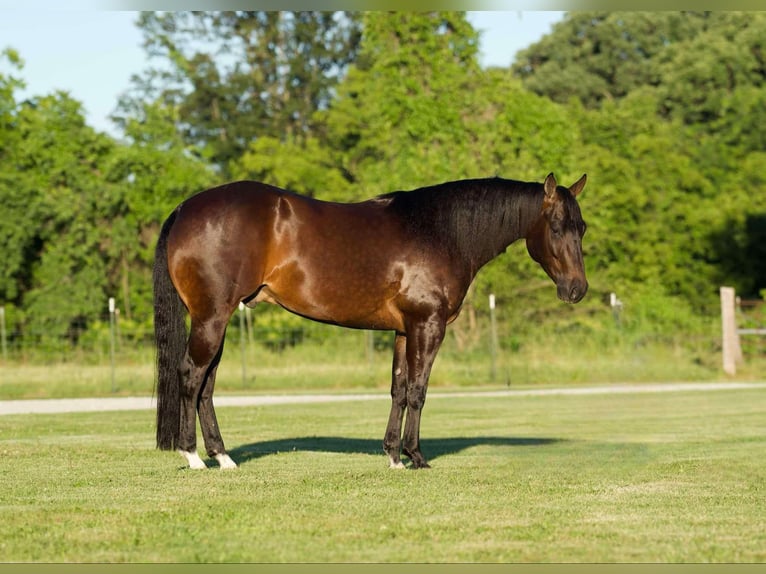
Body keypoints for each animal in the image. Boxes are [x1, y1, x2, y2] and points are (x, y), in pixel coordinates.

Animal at [153, 172, 589, 470]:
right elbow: (418, 391)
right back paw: (193, 456)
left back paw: (223, 457)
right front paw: (417, 457)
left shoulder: (403, 330)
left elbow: (398, 390)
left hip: (218, 321)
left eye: (581, 228)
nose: (577, 289)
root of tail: (185, 209)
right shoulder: (428, 325)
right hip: (211, 318)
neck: (440, 231)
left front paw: (393, 455)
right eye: (555, 227)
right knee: (191, 375)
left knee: (207, 384)